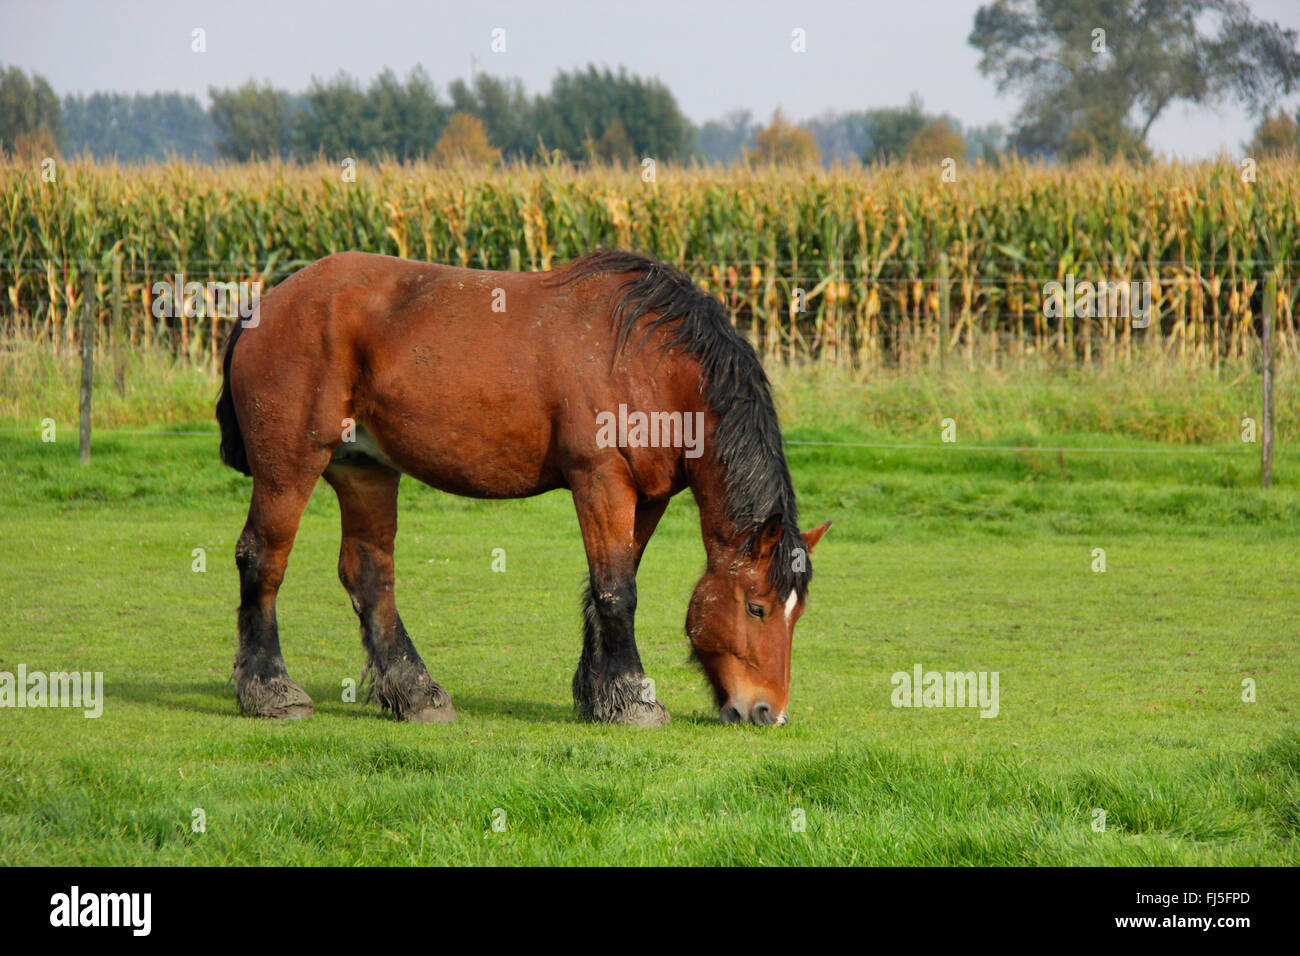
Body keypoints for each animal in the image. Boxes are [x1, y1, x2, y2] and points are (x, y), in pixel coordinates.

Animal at [215, 249, 829, 727]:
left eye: (797, 613)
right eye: (757, 608)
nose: (767, 712)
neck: (651, 361)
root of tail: (267, 304)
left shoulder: (648, 497)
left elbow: (611, 581)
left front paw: (600, 695)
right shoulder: (599, 480)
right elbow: (616, 591)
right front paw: (635, 700)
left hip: (364, 469)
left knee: (369, 574)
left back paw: (416, 694)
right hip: (290, 464)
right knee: (262, 559)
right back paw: (271, 691)